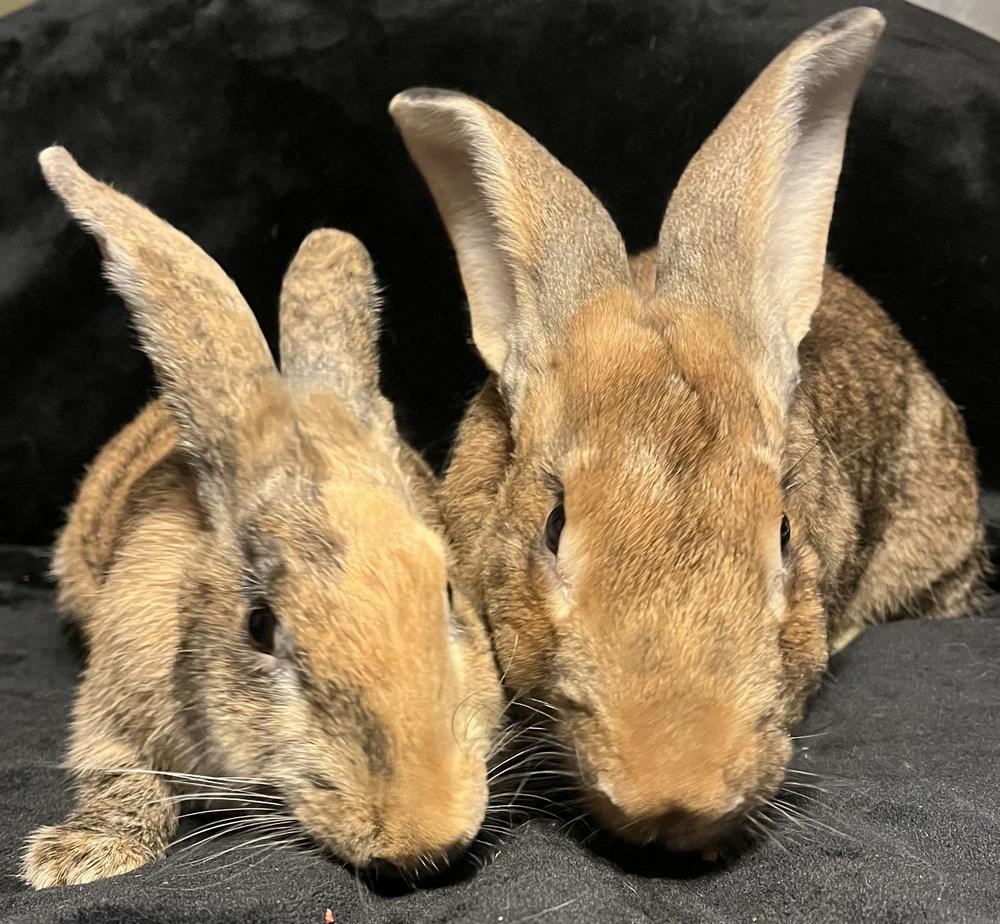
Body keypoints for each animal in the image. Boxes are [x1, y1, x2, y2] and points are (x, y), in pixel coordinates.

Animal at [21, 147, 504, 889]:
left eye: (448, 593)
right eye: (259, 626)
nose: (426, 837)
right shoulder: (109, 706)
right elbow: (118, 775)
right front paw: (76, 857)